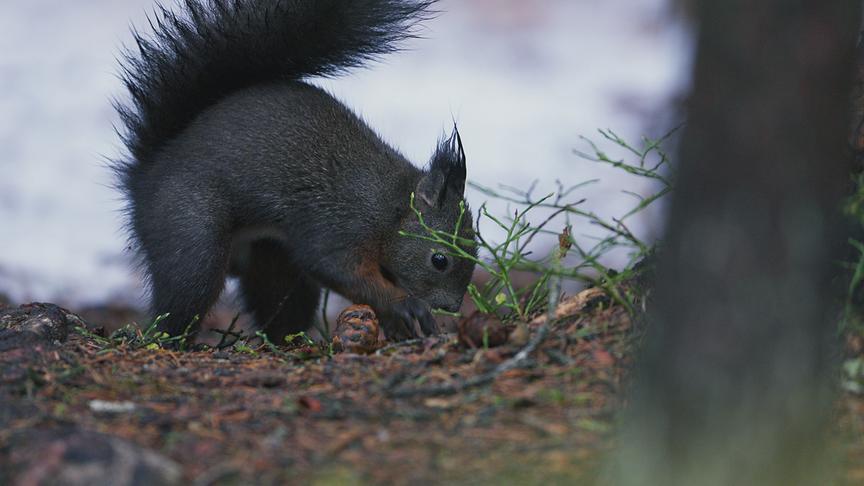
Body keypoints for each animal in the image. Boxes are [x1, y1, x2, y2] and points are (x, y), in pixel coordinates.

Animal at [113, 0, 477, 342]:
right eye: (440, 260)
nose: (451, 307)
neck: (391, 208)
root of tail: (144, 178)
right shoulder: (341, 224)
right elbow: (338, 268)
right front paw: (404, 305)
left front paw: (397, 325)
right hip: (190, 233)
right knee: (184, 297)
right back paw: (173, 341)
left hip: (273, 261)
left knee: (281, 305)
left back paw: (291, 341)